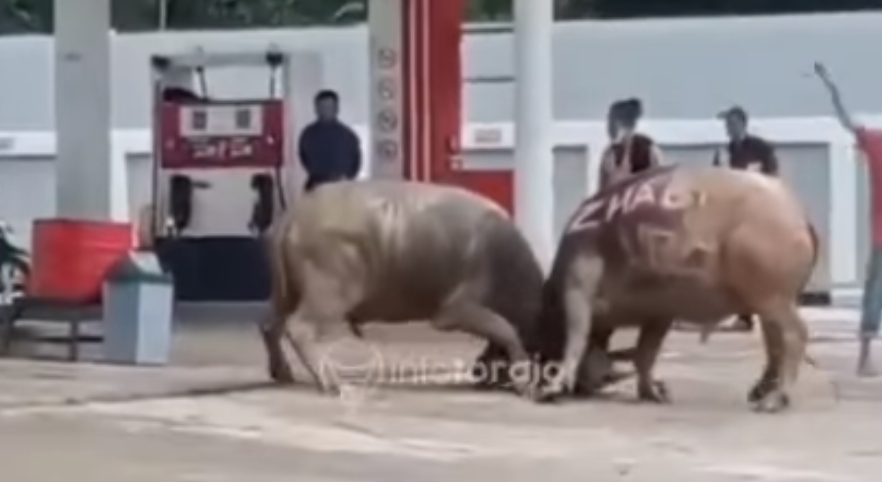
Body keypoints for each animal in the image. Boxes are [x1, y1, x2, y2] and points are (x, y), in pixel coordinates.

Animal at [256, 179, 544, 398]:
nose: (477, 371)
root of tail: (292, 215)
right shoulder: (456, 310)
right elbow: (505, 329)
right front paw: (525, 382)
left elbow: (499, 329)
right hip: (329, 291)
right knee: (300, 327)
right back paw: (334, 384)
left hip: (286, 293)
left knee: (271, 326)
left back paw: (283, 373)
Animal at [532, 165, 816, 410]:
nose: (593, 386)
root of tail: (801, 217)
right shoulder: (660, 311)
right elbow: (645, 353)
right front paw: (656, 395)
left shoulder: (577, 287)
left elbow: (577, 337)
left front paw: (551, 391)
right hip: (772, 297)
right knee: (774, 342)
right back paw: (757, 394)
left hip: (772, 293)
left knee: (795, 334)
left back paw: (772, 403)